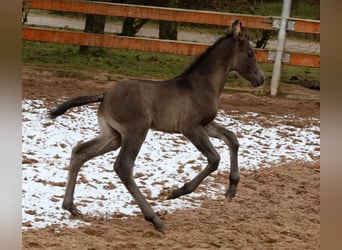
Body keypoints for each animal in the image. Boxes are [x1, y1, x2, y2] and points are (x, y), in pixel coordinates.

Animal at [49, 20, 264, 232]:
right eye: (250, 53)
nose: (261, 79)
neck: (201, 86)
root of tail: (105, 95)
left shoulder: (206, 125)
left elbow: (232, 139)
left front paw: (232, 190)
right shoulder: (191, 128)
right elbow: (214, 159)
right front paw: (177, 192)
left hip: (113, 136)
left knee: (80, 152)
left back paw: (71, 207)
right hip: (136, 131)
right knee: (123, 166)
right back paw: (155, 219)